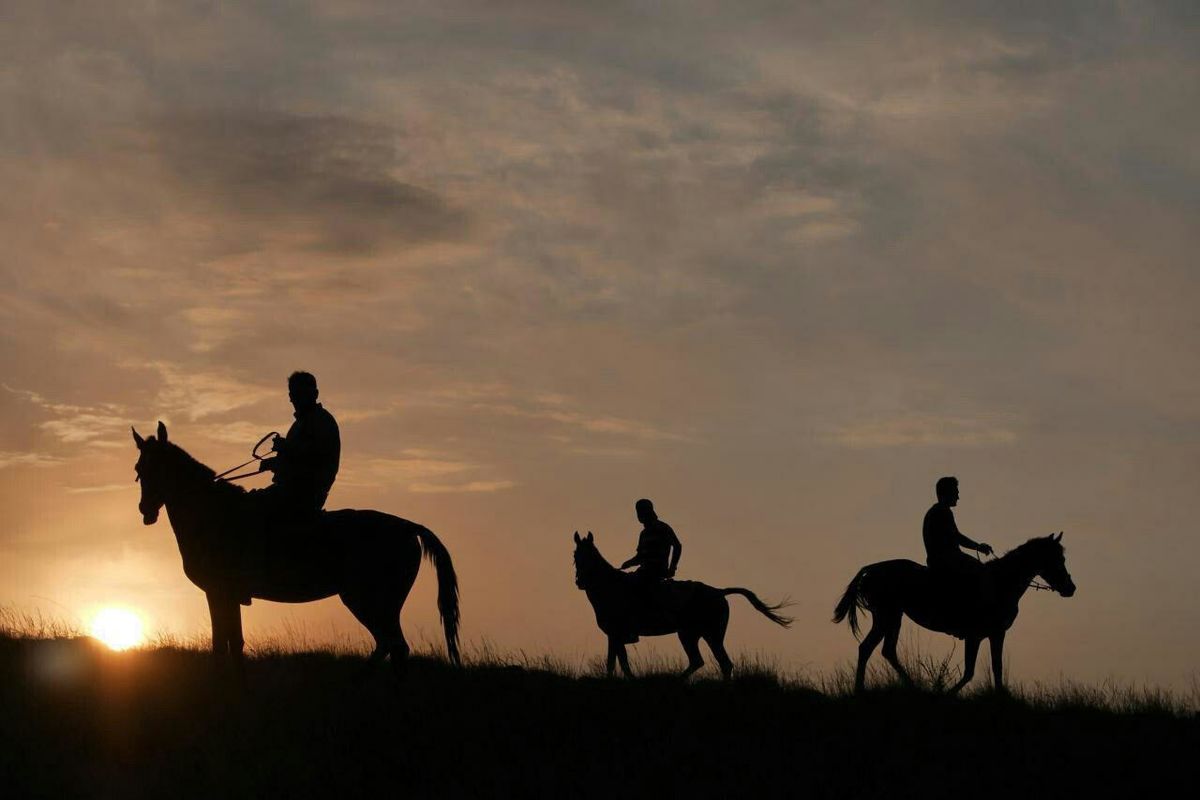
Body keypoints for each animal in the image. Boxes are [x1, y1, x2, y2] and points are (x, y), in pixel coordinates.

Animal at [131, 422, 458, 681]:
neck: (214, 514)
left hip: (369, 599)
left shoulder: (220, 591)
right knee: (389, 645)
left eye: (160, 467)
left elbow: (225, 642)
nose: (146, 510)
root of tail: (409, 527)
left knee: (394, 645)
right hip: (379, 603)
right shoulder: (224, 594)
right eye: (139, 469)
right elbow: (230, 641)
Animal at [568, 532, 787, 676]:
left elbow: (618, 664)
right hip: (698, 634)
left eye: (591, 556)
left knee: (714, 662)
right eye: (576, 556)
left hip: (702, 634)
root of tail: (719, 591)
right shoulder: (614, 635)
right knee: (711, 662)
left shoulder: (616, 633)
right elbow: (616, 662)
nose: (580, 581)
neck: (611, 587)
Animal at [835, 537, 1080, 695]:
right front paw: (947, 692)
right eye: (1057, 559)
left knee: (880, 650)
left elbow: (997, 666)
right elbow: (970, 671)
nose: (1070, 588)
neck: (1001, 582)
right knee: (871, 649)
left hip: (891, 617)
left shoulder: (996, 634)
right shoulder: (975, 635)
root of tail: (871, 569)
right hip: (888, 615)